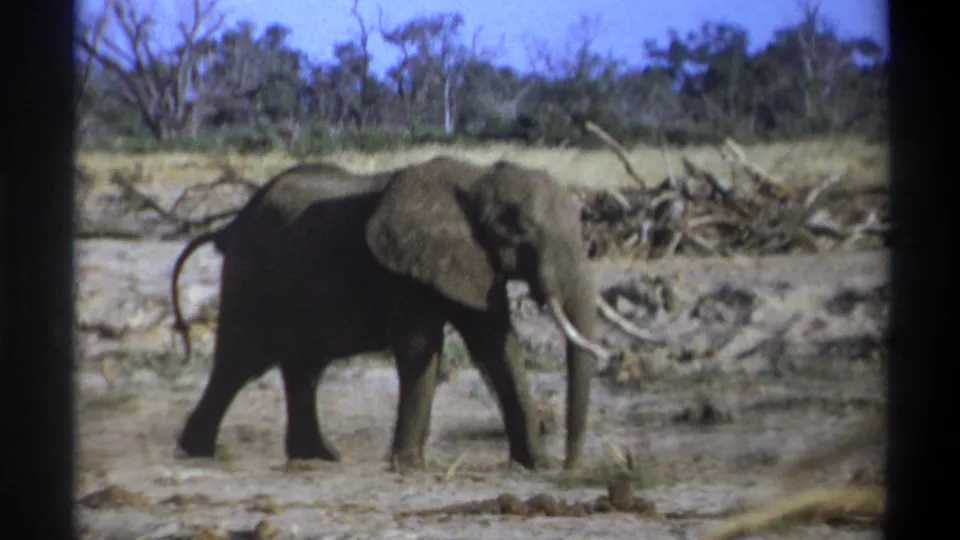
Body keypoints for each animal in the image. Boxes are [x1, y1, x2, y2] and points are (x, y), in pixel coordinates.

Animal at [169, 156, 651, 471]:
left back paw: (319, 457)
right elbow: (423, 347)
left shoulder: (473, 265)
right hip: (249, 278)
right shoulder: (402, 269)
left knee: (303, 368)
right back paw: (196, 453)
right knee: (240, 363)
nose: (571, 468)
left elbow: (498, 347)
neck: (476, 179)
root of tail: (228, 227)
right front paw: (409, 466)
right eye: (520, 232)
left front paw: (535, 465)